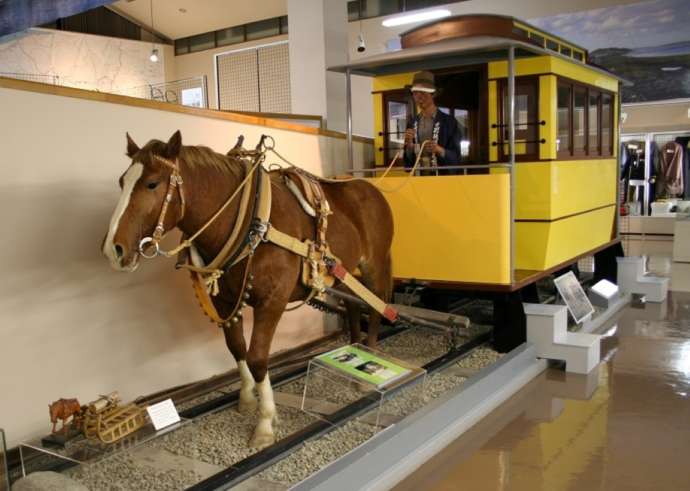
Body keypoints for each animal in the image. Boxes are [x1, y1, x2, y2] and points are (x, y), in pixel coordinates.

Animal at [101, 132, 392, 450]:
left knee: (377, 305)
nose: (113, 250)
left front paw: (265, 423)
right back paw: (356, 347)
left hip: (374, 265)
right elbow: (237, 348)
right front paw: (247, 398)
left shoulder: (272, 301)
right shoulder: (225, 300)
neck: (249, 221)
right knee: (353, 305)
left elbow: (258, 358)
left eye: (152, 183)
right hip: (344, 272)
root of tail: (371, 188)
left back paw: (370, 358)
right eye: (122, 182)